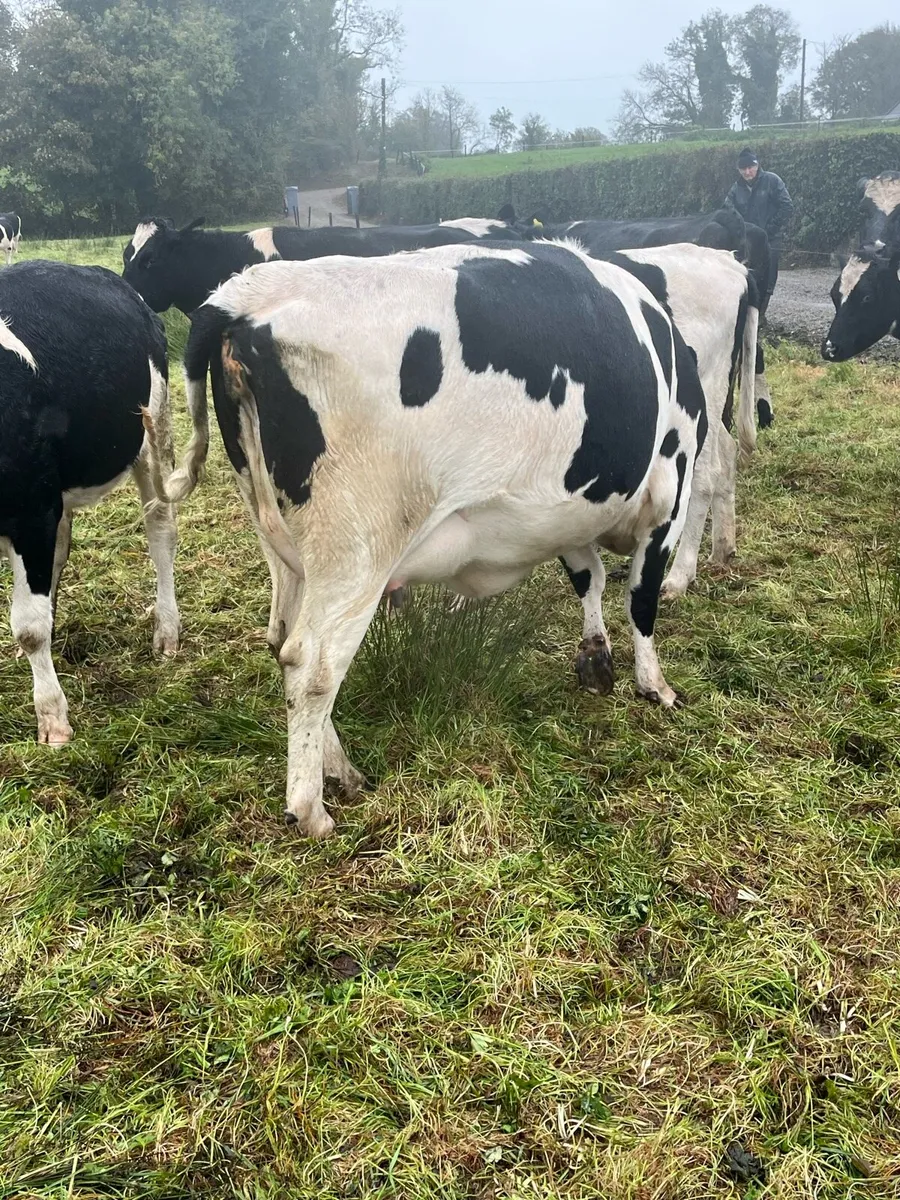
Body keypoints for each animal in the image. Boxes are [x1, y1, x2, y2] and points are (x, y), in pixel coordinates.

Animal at [0, 261, 181, 745]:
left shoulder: (31, 510)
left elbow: (28, 627)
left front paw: (52, 718)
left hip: (153, 434)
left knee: (161, 530)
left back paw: (167, 631)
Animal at [144, 240, 707, 837]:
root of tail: (245, 295)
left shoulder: (567, 513)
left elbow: (590, 578)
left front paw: (596, 657)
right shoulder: (669, 492)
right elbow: (640, 599)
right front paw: (654, 684)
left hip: (282, 537)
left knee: (281, 638)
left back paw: (341, 771)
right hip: (357, 548)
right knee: (311, 662)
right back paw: (312, 809)